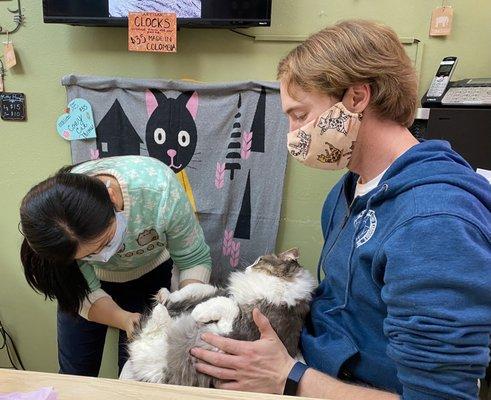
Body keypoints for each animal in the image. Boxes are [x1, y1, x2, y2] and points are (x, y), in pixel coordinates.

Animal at [121, 248, 318, 386]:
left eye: (260, 261)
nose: (247, 267)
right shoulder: (224, 292)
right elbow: (201, 288)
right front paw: (170, 294)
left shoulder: (238, 329)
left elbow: (226, 304)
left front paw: (198, 312)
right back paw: (163, 298)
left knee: (155, 327)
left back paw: (164, 311)